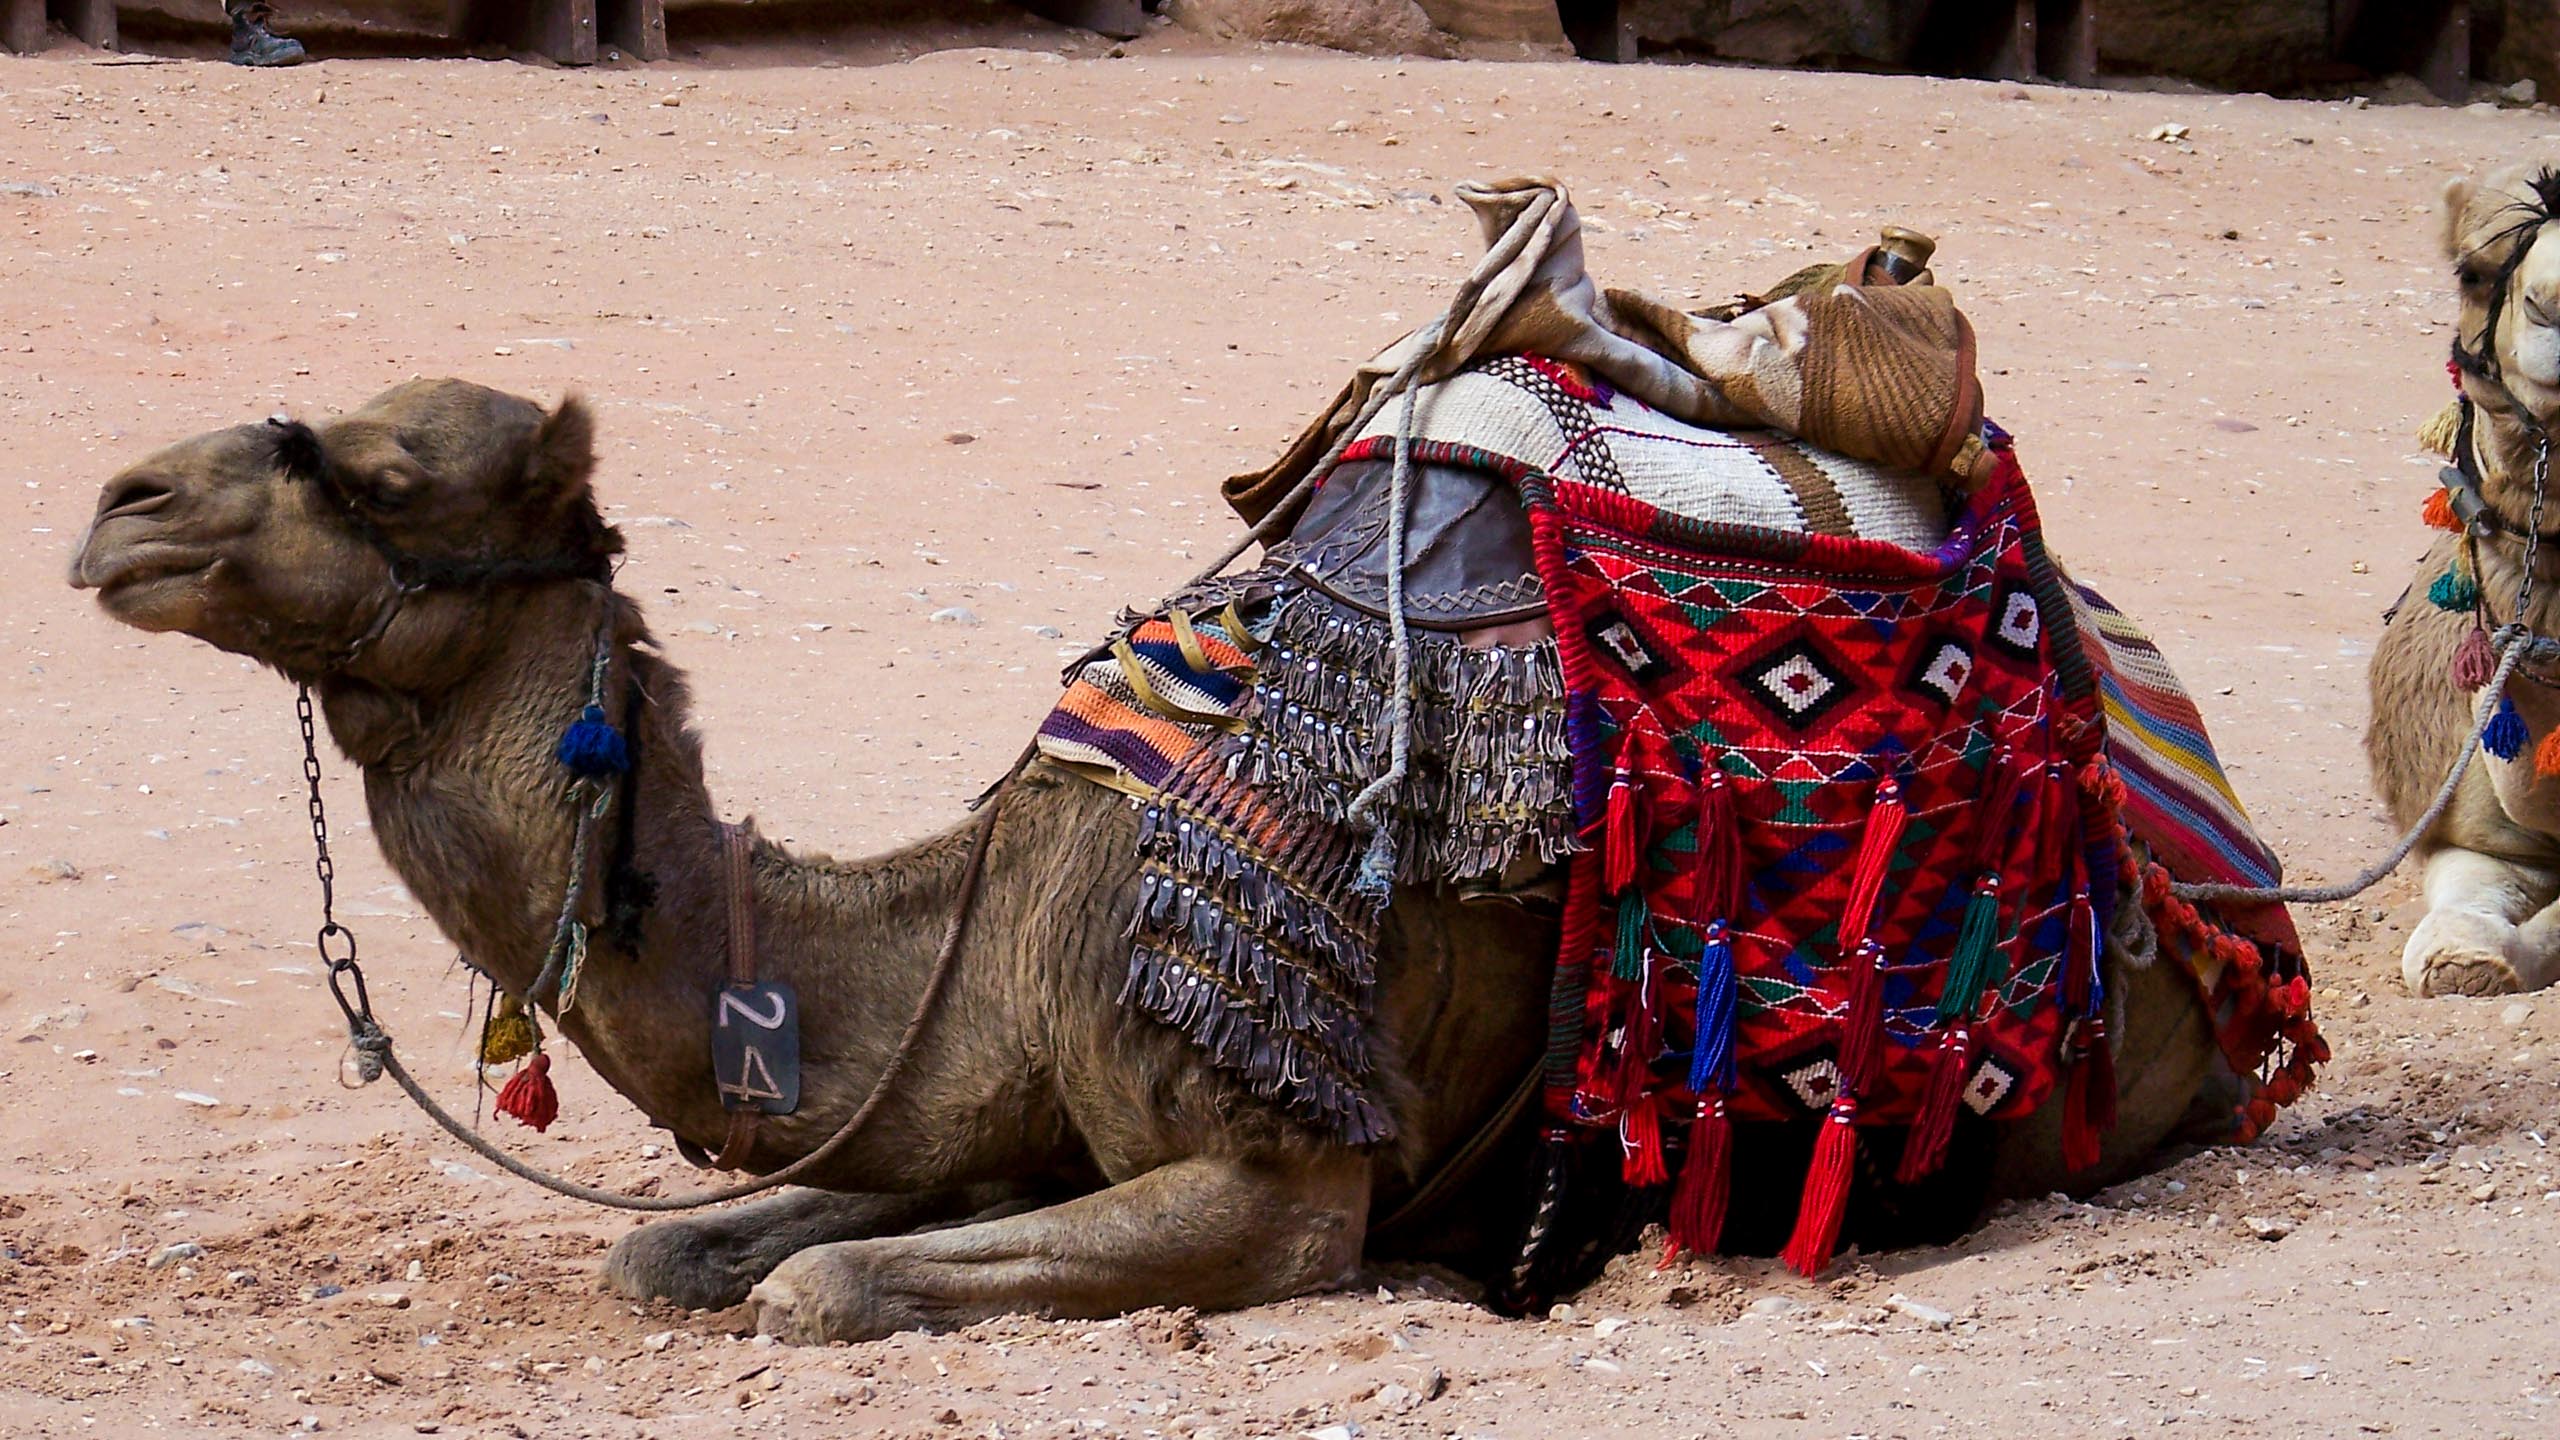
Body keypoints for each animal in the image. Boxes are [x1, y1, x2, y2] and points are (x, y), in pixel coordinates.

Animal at [70, 376, 2232, 1342]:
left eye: (372, 465)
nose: (118, 504)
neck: (972, 917)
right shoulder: (990, 1098)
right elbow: (685, 1247)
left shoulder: (1275, 1182)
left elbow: (821, 1292)